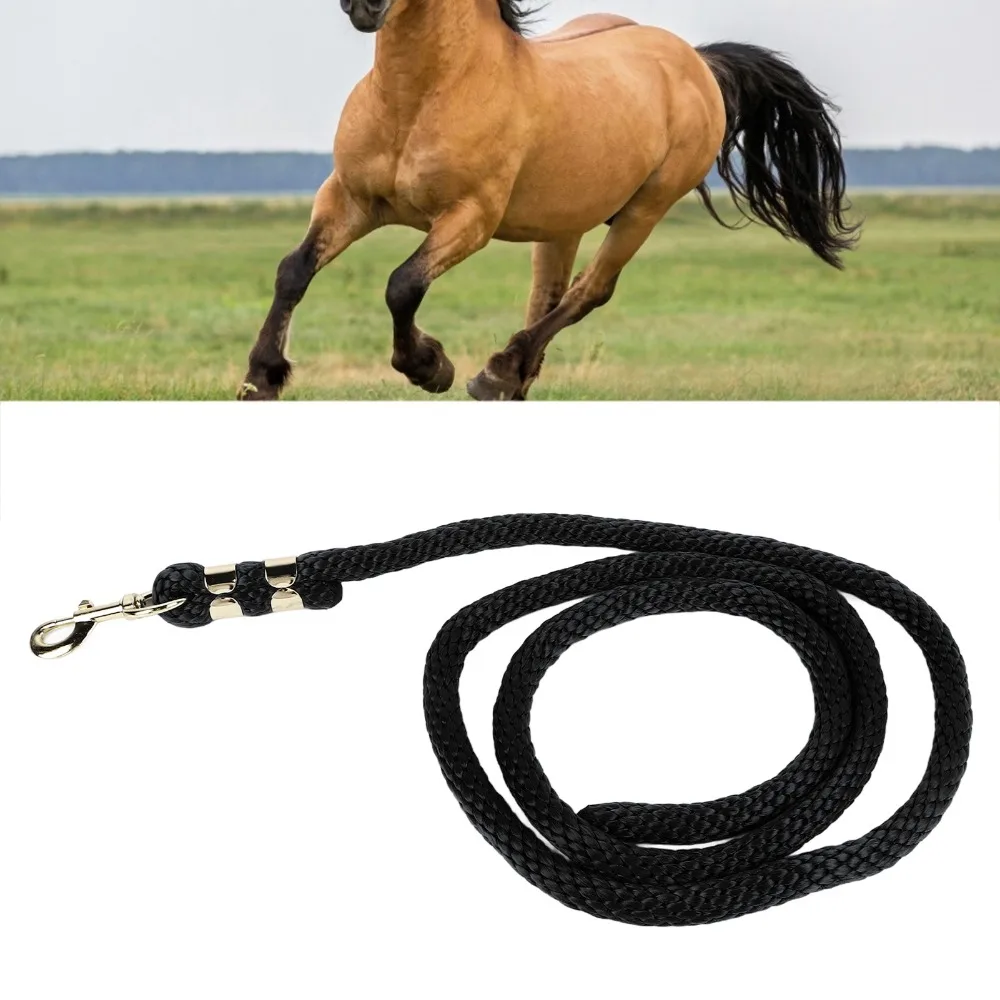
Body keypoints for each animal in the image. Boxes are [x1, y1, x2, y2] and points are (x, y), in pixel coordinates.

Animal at [239, 1, 859, 401]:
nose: (363, 4)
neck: (424, 94)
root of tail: (696, 61)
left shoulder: (470, 218)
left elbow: (402, 285)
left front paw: (429, 366)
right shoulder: (349, 198)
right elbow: (293, 270)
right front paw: (261, 378)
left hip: (644, 210)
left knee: (589, 292)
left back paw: (495, 373)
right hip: (564, 223)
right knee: (547, 297)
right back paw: (512, 378)